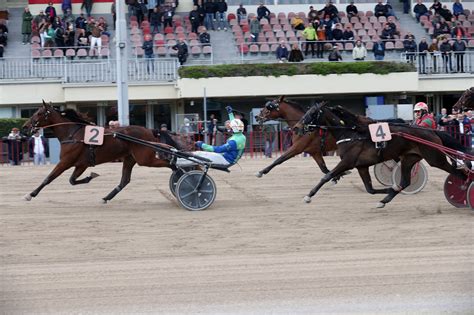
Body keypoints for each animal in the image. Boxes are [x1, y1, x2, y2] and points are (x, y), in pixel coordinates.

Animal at [22, 102, 184, 204]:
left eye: (39, 113)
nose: (25, 127)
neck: (72, 133)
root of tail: (150, 130)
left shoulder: (65, 162)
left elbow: (48, 178)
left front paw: (30, 195)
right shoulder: (81, 164)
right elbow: (72, 180)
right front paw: (90, 176)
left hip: (144, 159)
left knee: (170, 164)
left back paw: (181, 174)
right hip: (130, 158)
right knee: (124, 181)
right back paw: (106, 197)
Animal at [296, 102, 470, 209]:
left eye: (312, 113)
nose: (297, 127)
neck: (351, 133)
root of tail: (433, 132)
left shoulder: (348, 162)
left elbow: (326, 176)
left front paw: (308, 196)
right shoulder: (361, 166)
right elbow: (370, 189)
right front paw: (388, 189)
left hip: (435, 158)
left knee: (459, 173)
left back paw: (465, 190)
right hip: (409, 159)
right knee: (405, 181)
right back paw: (386, 199)